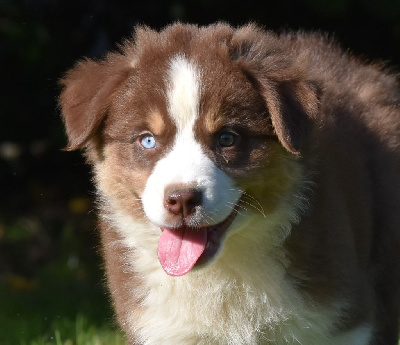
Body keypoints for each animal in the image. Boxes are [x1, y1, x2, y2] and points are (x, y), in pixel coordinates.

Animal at [59, 22, 400, 342]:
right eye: (147, 140)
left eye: (226, 138)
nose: (181, 199)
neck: (224, 269)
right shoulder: (163, 326)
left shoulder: (343, 319)